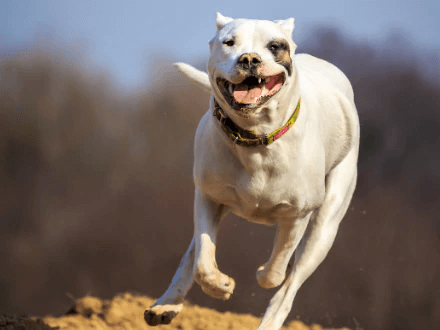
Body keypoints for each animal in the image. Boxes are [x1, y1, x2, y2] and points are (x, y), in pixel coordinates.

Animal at [146, 13, 360, 330]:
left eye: (274, 45)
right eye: (229, 42)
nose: (249, 59)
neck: (255, 137)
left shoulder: (296, 216)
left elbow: (276, 271)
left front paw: (263, 272)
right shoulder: (208, 198)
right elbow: (203, 262)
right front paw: (220, 285)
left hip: (325, 227)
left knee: (289, 286)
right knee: (192, 256)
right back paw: (166, 304)